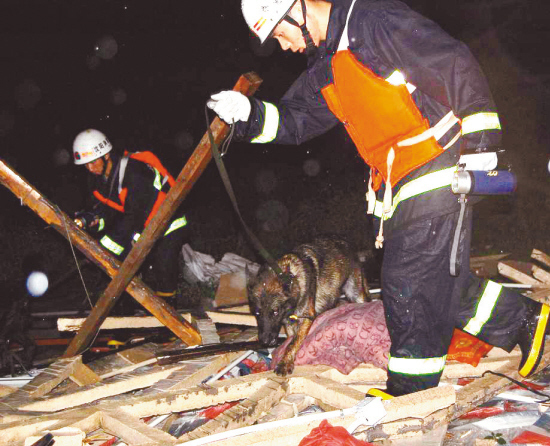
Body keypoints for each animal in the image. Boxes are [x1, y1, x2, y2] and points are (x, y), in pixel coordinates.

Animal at [249, 237, 370, 376]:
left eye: (275, 312)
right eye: (257, 313)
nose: (264, 341)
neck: (292, 278)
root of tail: (348, 245)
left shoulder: (306, 318)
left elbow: (292, 343)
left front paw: (285, 363)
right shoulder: (289, 323)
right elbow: (290, 339)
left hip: (355, 294)